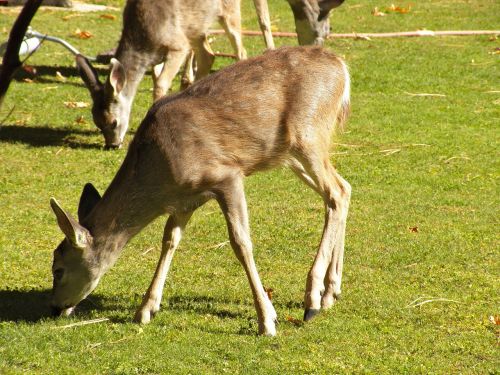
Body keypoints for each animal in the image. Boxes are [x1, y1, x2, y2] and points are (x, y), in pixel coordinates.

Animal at [48, 45, 350, 336]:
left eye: (58, 269)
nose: (55, 308)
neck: (161, 173)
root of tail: (342, 69)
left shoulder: (227, 175)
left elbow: (241, 242)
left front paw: (267, 320)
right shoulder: (186, 199)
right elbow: (169, 240)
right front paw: (146, 309)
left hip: (308, 136)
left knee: (335, 193)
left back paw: (312, 300)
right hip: (291, 155)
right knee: (343, 189)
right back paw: (330, 292)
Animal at [77, 0, 274, 150]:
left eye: (113, 122)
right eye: (96, 122)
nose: (112, 145)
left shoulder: (177, 45)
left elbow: (161, 83)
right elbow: (156, 77)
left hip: (227, 12)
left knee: (240, 49)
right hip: (195, 25)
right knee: (208, 55)